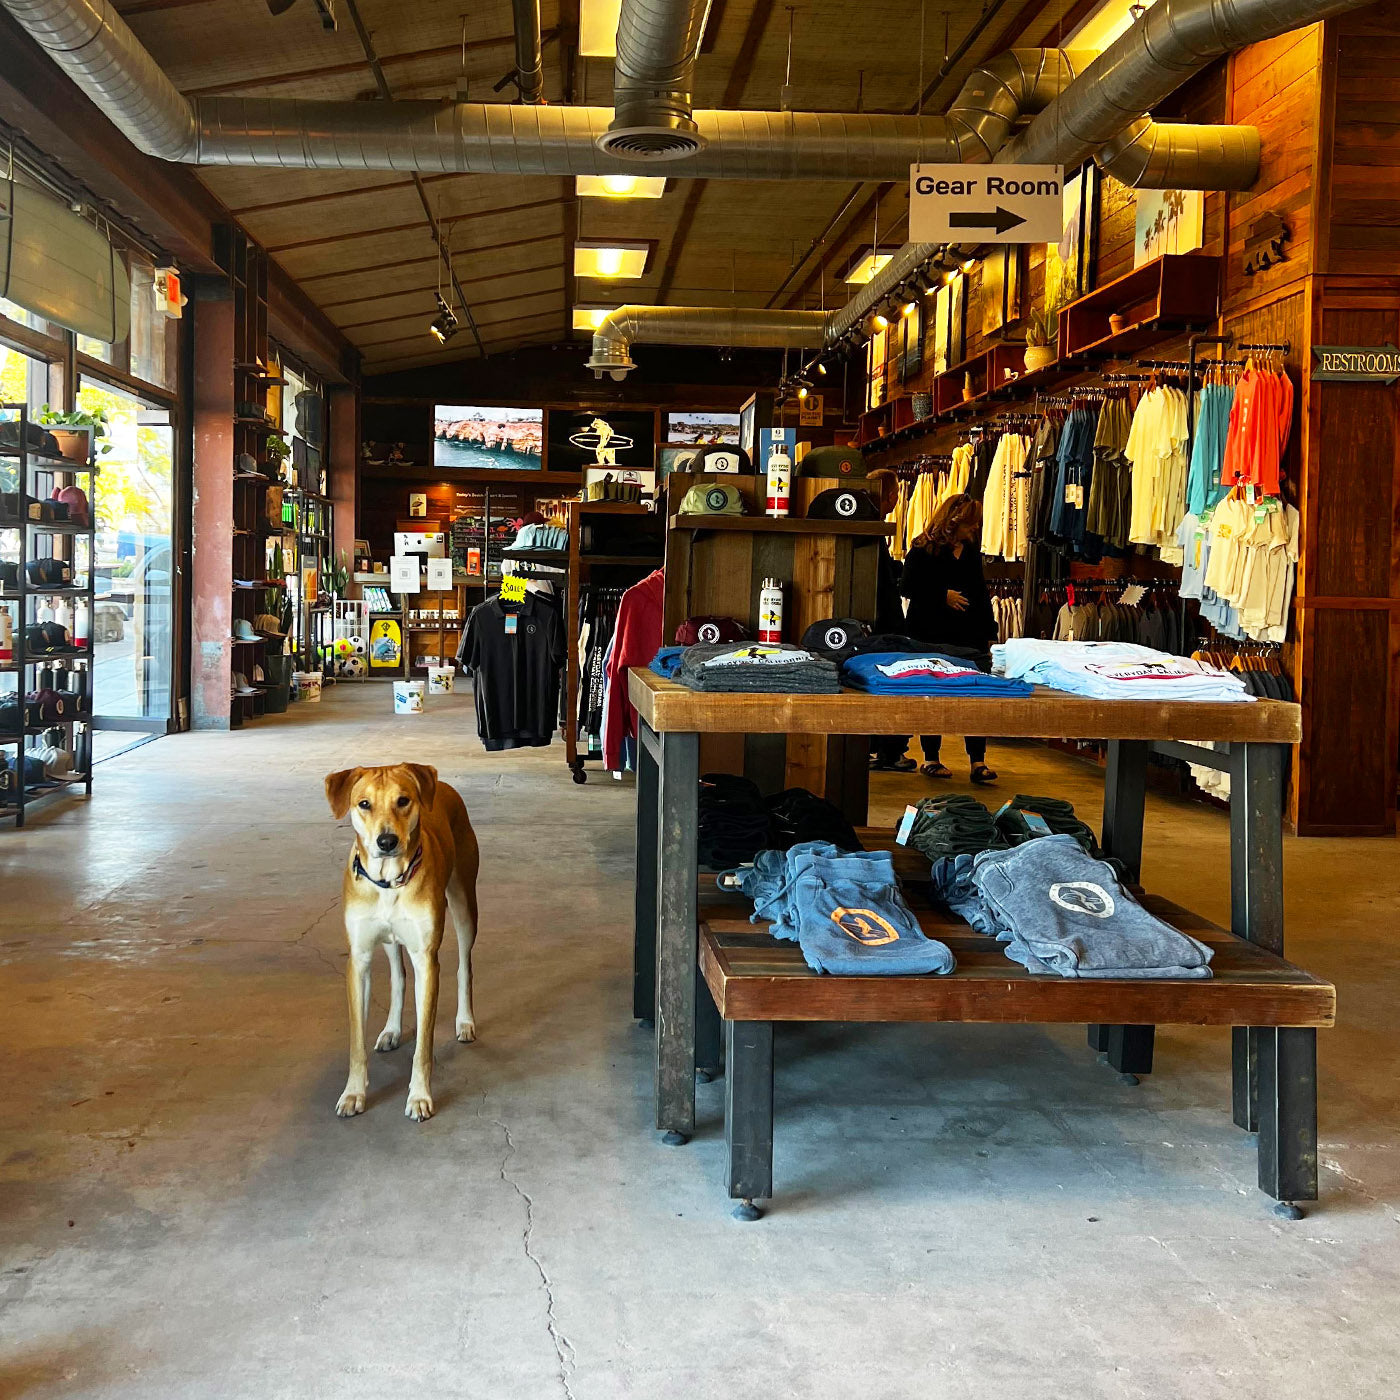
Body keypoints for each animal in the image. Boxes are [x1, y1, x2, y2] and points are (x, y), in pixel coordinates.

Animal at [323, 761, 481, 1120]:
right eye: (364, 804)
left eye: (404, 800)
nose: (386, 841)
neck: (388, 881)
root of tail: (444, 786)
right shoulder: (359, 960)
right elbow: (356, 1041)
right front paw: (353, 1093)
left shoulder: (427, 960)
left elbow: (423, 1044)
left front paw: (419, 1096)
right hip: (390, 941)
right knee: (398, 977)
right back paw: (392, 1029)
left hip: (464, 903)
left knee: (465, 967)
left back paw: (465, 1021)